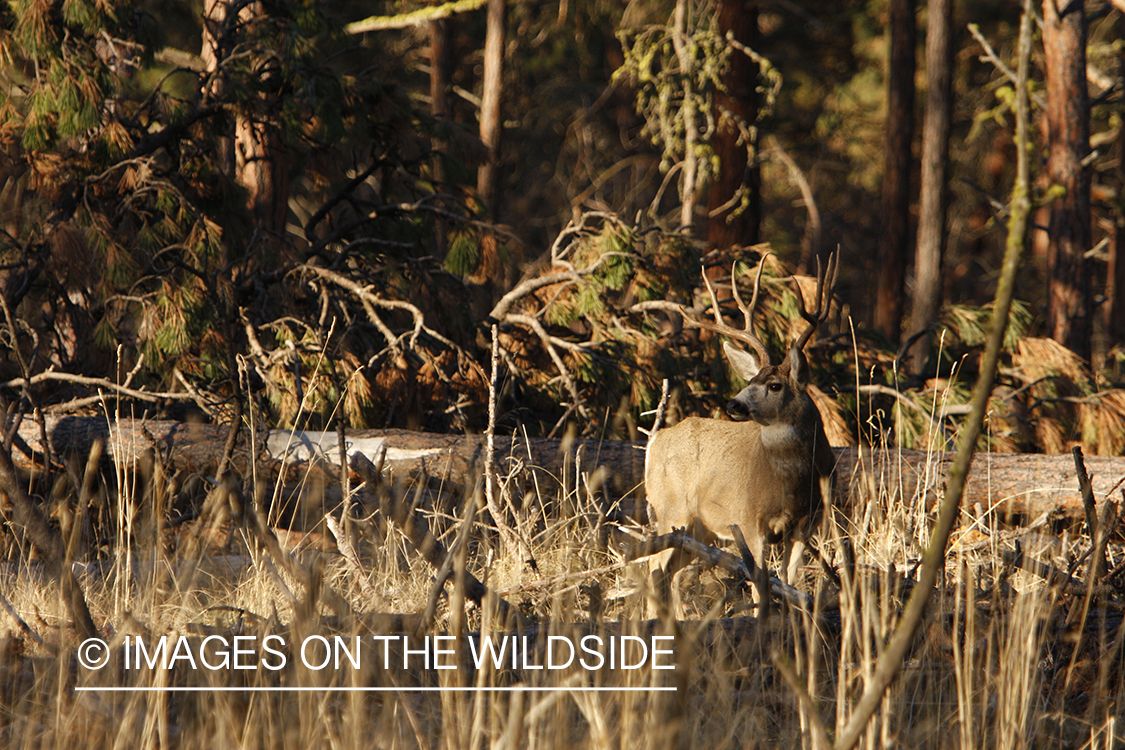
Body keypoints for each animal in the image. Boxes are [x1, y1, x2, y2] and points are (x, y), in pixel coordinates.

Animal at [644, 252, 838, 618]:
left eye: (774, 385)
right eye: (750, 381)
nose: (733, 404)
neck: (792, 485)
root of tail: (654, 441)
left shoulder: (806, 525)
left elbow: (790, 582)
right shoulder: (749, 520)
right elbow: (761, 584)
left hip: (699, 527)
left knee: (670, 574)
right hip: (670, 508)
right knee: (654, 568)